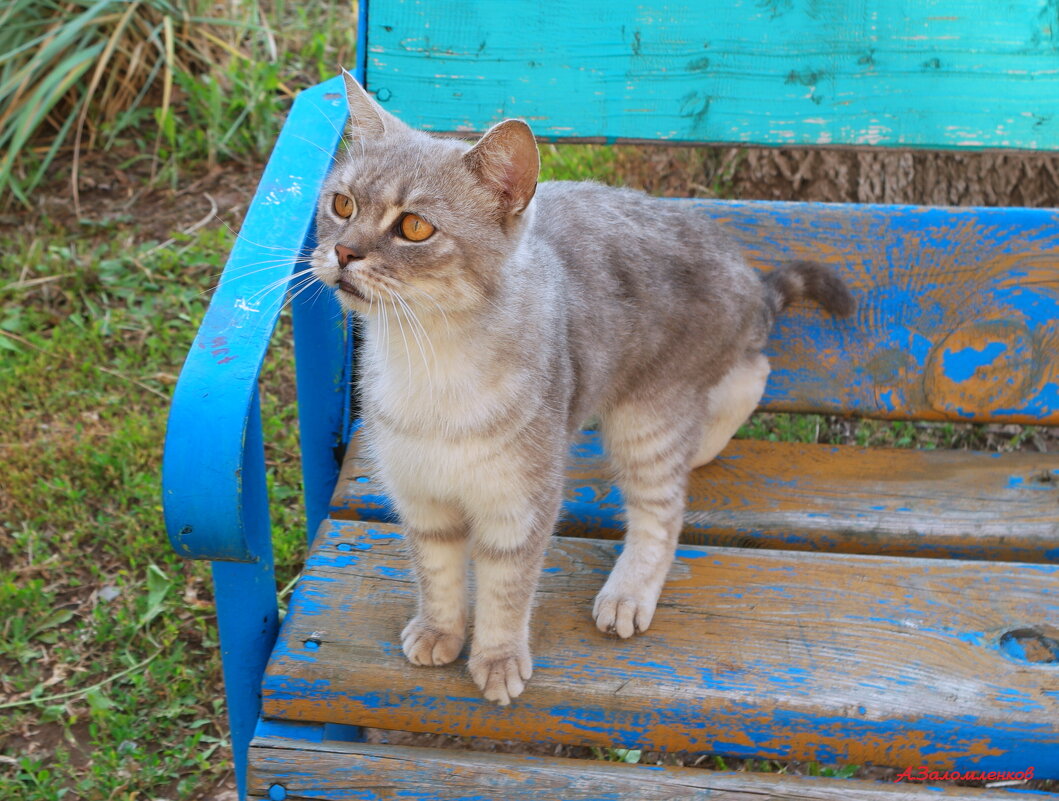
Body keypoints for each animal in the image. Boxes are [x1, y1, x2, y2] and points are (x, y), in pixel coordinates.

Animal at [309, 72, 855, 703]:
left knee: (671, 498)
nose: (343, 251)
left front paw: (497, 658)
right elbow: (437, 572)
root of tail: (747, 278)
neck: (431, 362)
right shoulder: (420, 497)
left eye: (414, 227)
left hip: (648, 418)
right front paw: (440, 630)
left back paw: (632, 585)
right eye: (342, 204)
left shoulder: (520, 505)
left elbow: (505, 590)